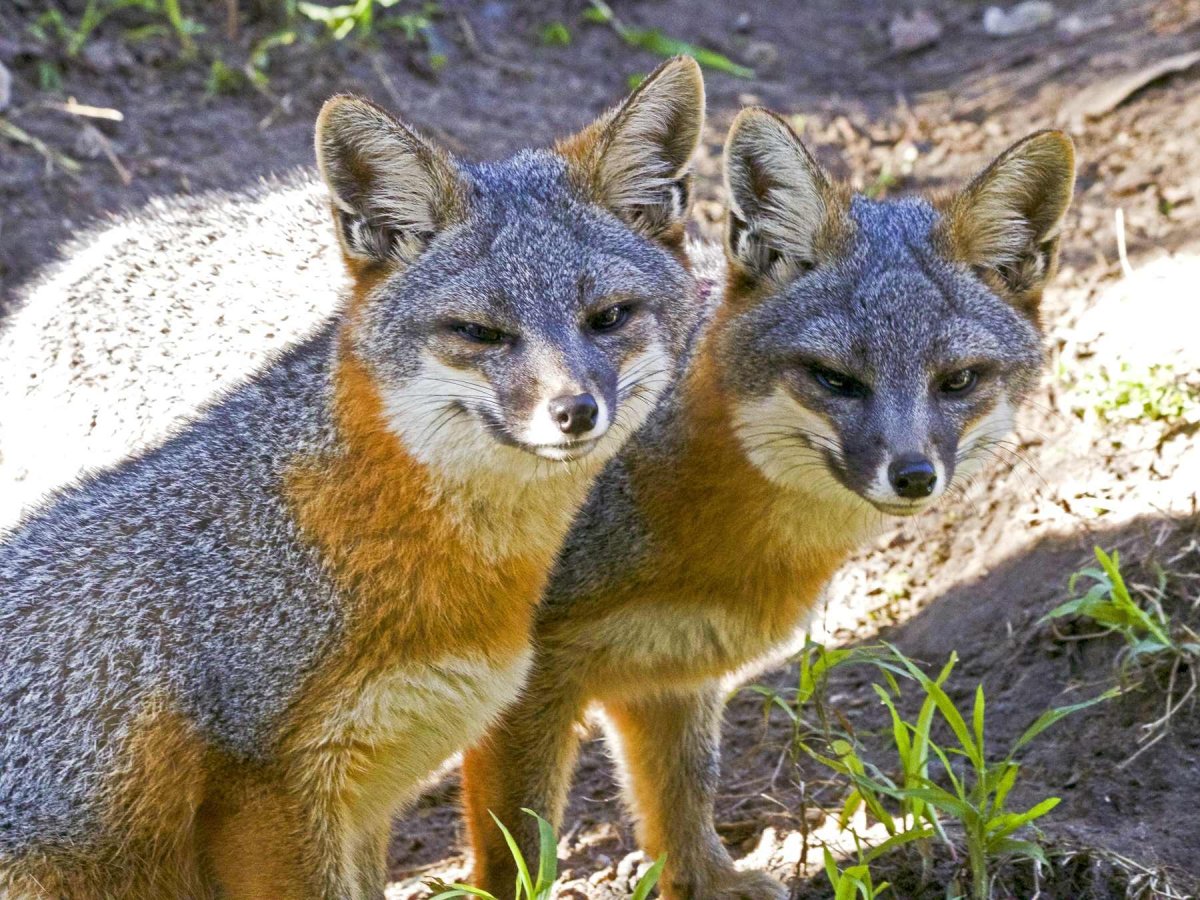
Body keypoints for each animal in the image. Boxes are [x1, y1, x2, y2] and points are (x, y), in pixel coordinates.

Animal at [463, 110, 1076, 899]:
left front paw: (707, 880)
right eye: (834, 379)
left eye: (959, 381)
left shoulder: (671, 664)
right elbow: (517, 849)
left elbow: (683, 792)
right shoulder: (521, 684)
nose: (913, 475)